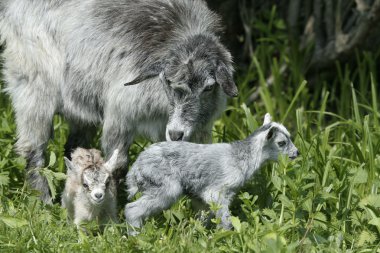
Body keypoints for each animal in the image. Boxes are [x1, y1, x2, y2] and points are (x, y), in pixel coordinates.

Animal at [0, 0, 238, 204]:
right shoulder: (120, 115)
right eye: (167, 81)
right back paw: (43, 201)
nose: (176, 133)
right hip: (34, 86)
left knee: (74, 147)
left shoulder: (200, 129)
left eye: (209, 87)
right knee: (32, 149)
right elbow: (118, 165)